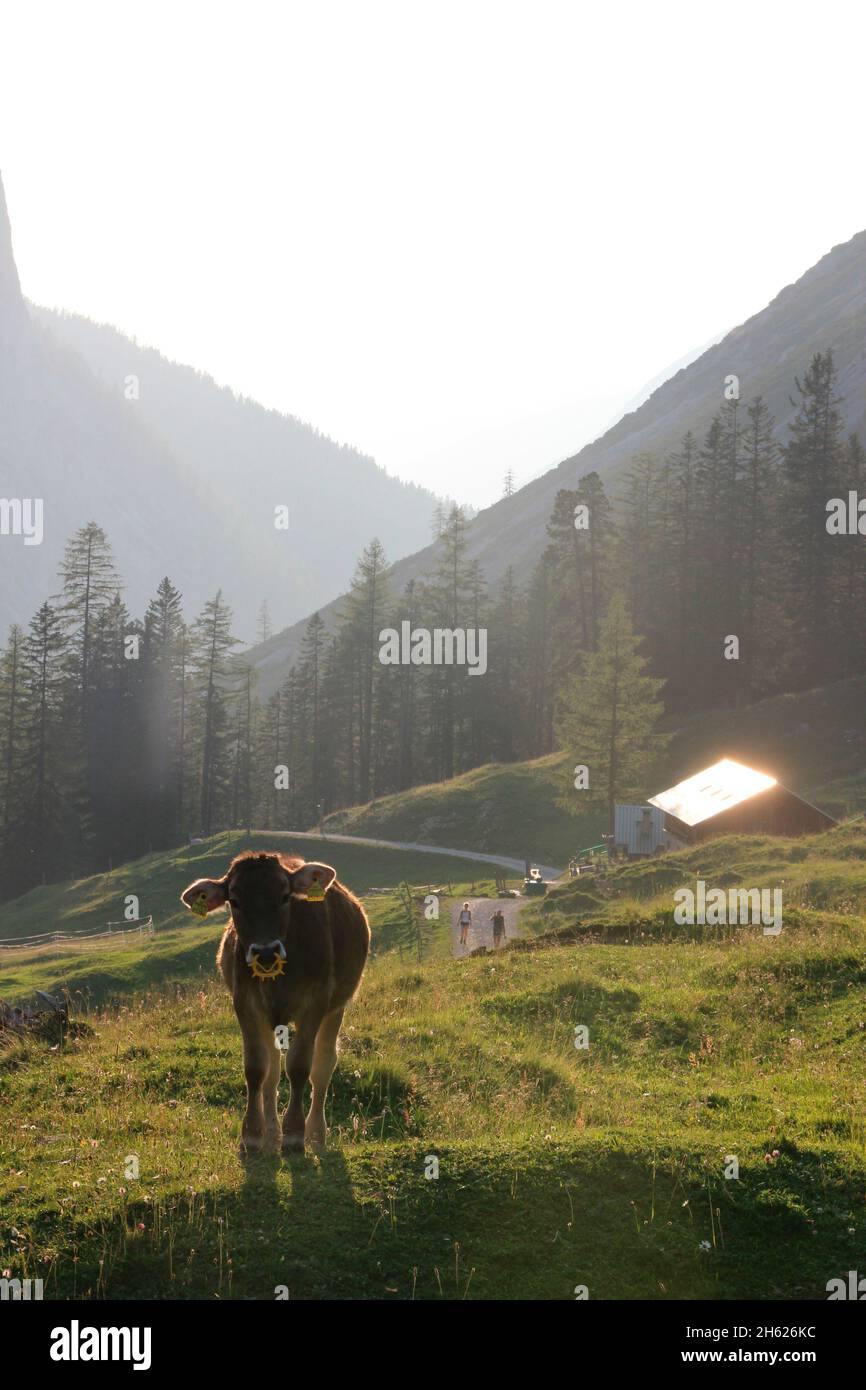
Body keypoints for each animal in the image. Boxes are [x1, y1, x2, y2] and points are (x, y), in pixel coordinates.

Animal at [180, 850, 369, 1156]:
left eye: (284, 896)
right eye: (235, 901)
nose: (266, 952)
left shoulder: (316, 1003)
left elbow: (300, 1067)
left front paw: (294, 1134)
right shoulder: (245, 1004)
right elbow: (257, 1068)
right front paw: (253, 1135)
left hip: (336, 1007)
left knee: (323, 1067)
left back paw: (316, 1134)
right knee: (271, 1072)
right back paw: (271, 1133)